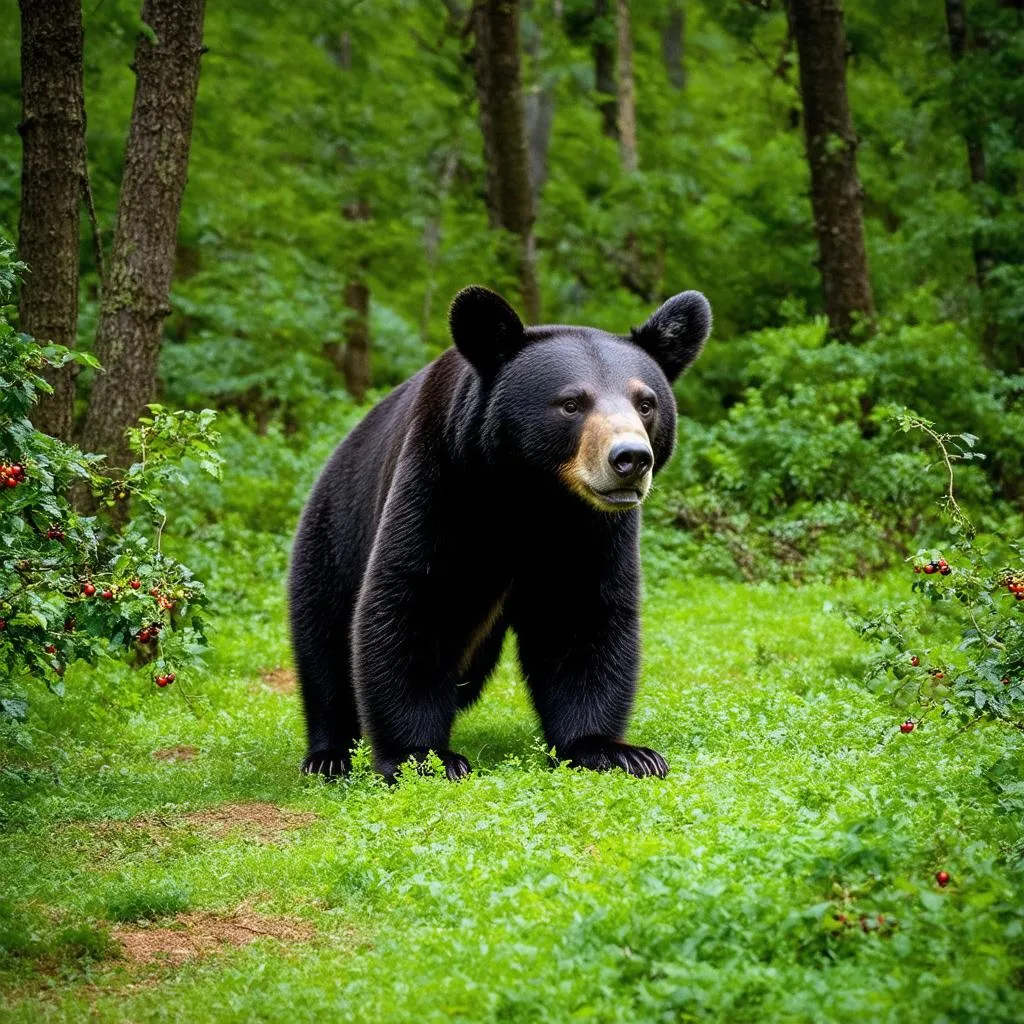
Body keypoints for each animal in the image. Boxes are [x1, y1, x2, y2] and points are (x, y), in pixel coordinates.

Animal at [288, 288, 712, 782]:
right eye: (571, 403)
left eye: (645, 403)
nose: (630, 458)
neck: (529, 495)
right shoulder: (443, 482)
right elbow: (411, 602)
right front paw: (424, 756)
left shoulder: (592, 528)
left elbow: (583, 615)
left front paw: (615, 750)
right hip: (333, 534)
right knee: (325, 646)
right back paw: (329, 754)